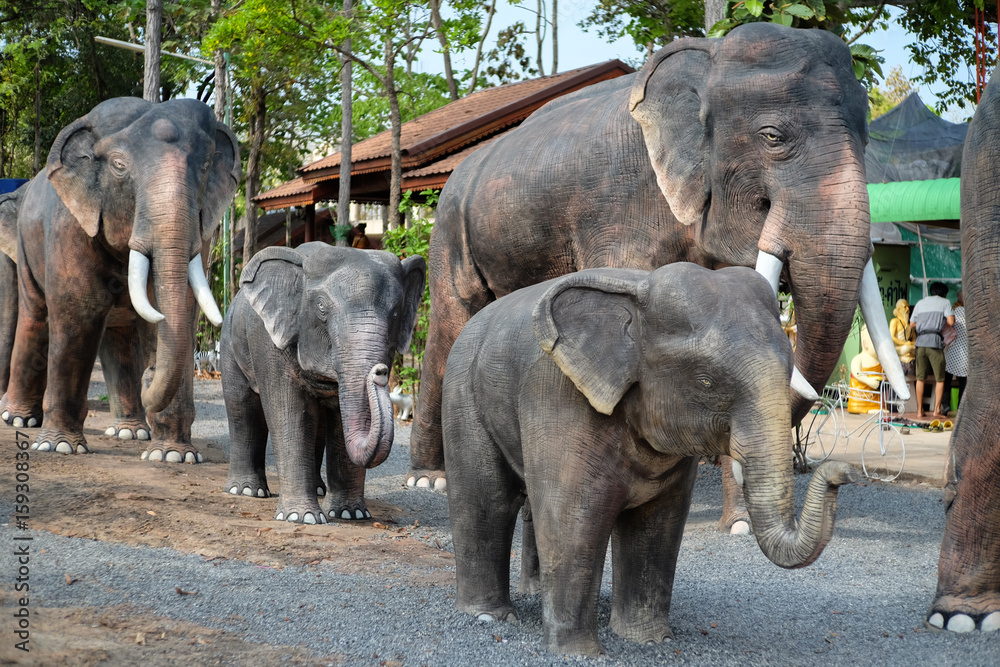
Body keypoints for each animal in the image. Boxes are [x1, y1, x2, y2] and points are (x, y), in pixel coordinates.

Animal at [0, 97, 239, 461]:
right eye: (118, 165)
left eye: (206, 165)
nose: (150, 374)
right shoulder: (69, 223)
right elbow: (79, 313)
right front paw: (60, 447)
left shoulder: (203, 226)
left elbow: (176, 314)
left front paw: (174, 455)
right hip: (27, 249)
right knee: (36, 318)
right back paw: (18, 420)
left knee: (120, 337)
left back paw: (131, 432)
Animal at [221, 243, 426, 524]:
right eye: (321, 307)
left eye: (396, 311)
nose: (380, 371)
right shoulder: (269, 342)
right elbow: (289, 413)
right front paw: (303, 518)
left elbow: (342, 420)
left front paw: (351, 514)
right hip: (230, 343)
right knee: (242, 408)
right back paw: (246, 491)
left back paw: (318, 490)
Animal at [409, 21, 907, 532]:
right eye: (772, 136)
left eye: (868, 141)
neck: (709, 55)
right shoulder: (619, 207)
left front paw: (739, 526)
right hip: (450, 227)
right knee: (450, 322)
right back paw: (427, 479)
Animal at [442, 263, 859, 656]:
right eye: (706, 382)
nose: (844, 472)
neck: (639, 289)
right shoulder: (558, 396)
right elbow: (574, 518)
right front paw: (578, 654)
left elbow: (658, 523)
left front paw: (650, 640)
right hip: (463, 395)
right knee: (488, 501)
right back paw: (488, 616)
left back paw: (531, 595)